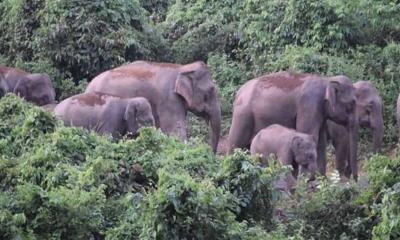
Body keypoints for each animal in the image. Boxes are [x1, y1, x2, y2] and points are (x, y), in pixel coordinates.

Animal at [85, 61, 222, 153]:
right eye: (210, 90)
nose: (211, 153)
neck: (182, 68)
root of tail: (88, 86)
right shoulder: (169, 99)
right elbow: (175, 130)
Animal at [228, 71, 360, 180]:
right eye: (351, 104)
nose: (353, 179)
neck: (327, 80)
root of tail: (239, 92)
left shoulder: (320, 112)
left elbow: (321, 141)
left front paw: (321, 180)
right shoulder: (309, 105)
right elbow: (309, 133)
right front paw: (307, 180)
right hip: (243, 115)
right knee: (236, 142)